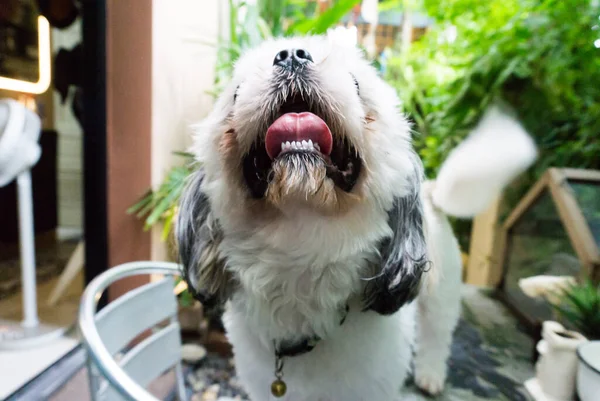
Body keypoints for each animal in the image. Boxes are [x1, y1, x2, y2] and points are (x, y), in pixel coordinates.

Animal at [173, 35, 536, 400]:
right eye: (236, 93)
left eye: (356, 84)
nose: (291, 56)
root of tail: (431, 191)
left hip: (441, 291)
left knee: (437, 334)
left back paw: (430, 375)